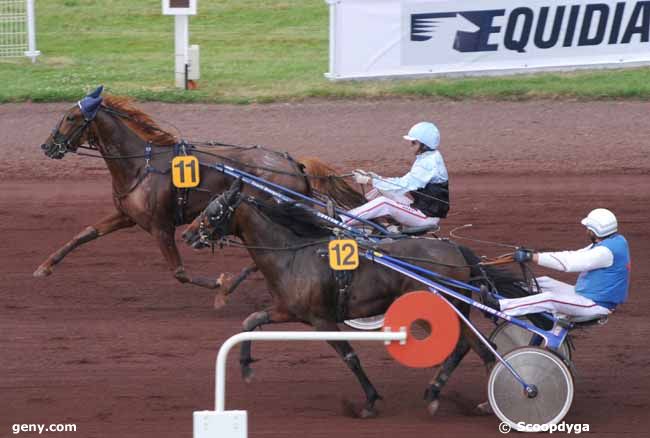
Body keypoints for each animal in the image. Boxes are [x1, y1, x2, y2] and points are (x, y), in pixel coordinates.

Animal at [184, 181, 532, 418]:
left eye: (213, 211)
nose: (187, 234)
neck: (293, 255)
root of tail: (455, 249)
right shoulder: (288, 310)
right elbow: (250, 321)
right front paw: (245, 367)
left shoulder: (322, 320)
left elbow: (349, 356)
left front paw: (369, 401)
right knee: (468, 346)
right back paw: (439, 392)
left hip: (438, 307)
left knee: (478, 346)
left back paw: (500, 394)